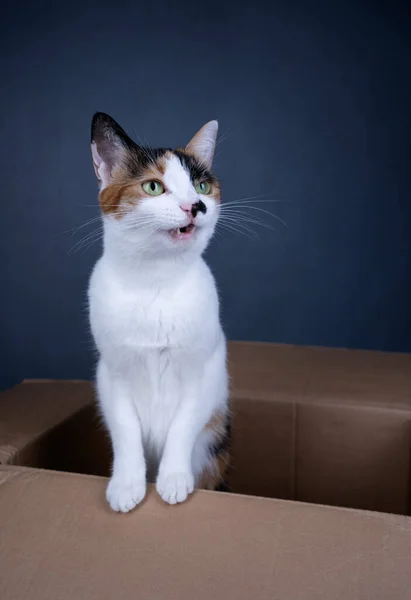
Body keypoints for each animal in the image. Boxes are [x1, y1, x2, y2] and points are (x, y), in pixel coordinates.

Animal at [88, 111, 230, 510]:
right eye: (153, 187)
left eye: (201, 186)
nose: (195, 206)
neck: (156, 281)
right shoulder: (112, 373)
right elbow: (125, 430)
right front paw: (126, 485)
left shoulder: (204, 370)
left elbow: (183, 426)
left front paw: (174, 480)